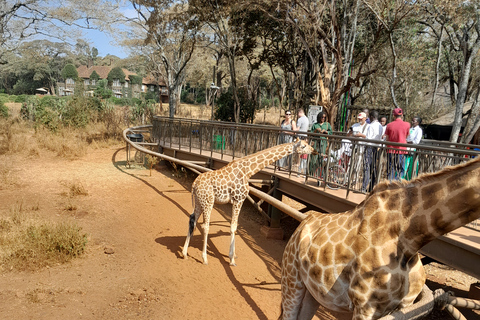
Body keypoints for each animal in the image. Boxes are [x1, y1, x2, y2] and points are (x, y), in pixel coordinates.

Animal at [182, 139, 316, 266]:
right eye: (303, 146)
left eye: (307, 143)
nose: (314, 151)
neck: (249, 170)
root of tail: (194, 184)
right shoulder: (238, 199)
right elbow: (233, 227)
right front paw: (231, 259)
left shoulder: (236, 201)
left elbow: (235, 226)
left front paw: (233, 255)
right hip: (208, 202)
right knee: (205, 226)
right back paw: (204, 258)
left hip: (200, 201)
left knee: (192, 219)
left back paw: (184, 253)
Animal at [280, 156, 480, 318]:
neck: (410, 239)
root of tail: (303, 223)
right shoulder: (364, 307)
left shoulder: (403, 306)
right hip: (292, 280)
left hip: (314, 291)